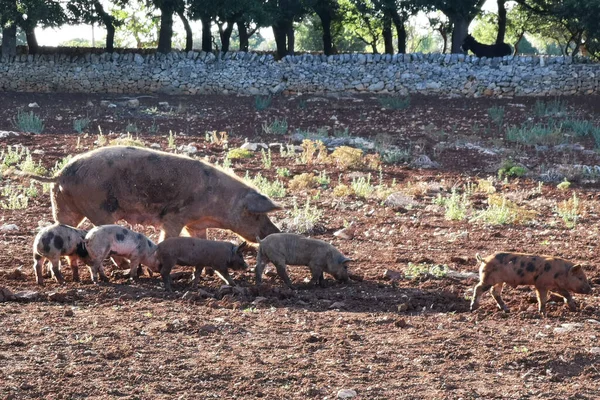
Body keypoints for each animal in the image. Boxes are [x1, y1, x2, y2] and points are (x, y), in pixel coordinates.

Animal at [26, 146, 284, 242]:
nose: (276, 232)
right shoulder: (175, 216)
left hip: (64, 205)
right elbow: (168, 236)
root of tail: (60, 174)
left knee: (61, 225)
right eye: (256, 215)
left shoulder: (196, 224)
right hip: (98, 206)